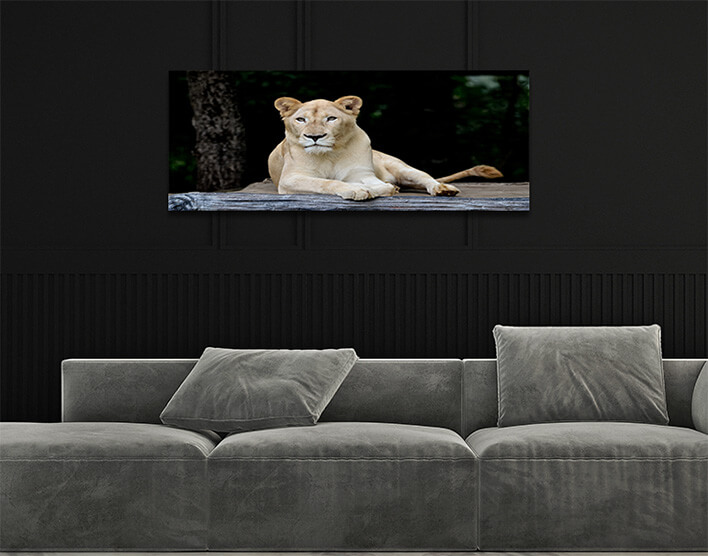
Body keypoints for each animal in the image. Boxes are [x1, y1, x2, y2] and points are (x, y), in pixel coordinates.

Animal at [268, 95, 503, 201]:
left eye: (331, 118)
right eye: (301, 119)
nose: (314, 137)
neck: (330, 154)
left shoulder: (362, 173)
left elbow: (375, 184)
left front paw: (377, 189)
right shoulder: (290, 180)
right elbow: (326, 183)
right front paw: (358, 190)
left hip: (403, 169)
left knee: (427, 179)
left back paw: (442, 189)